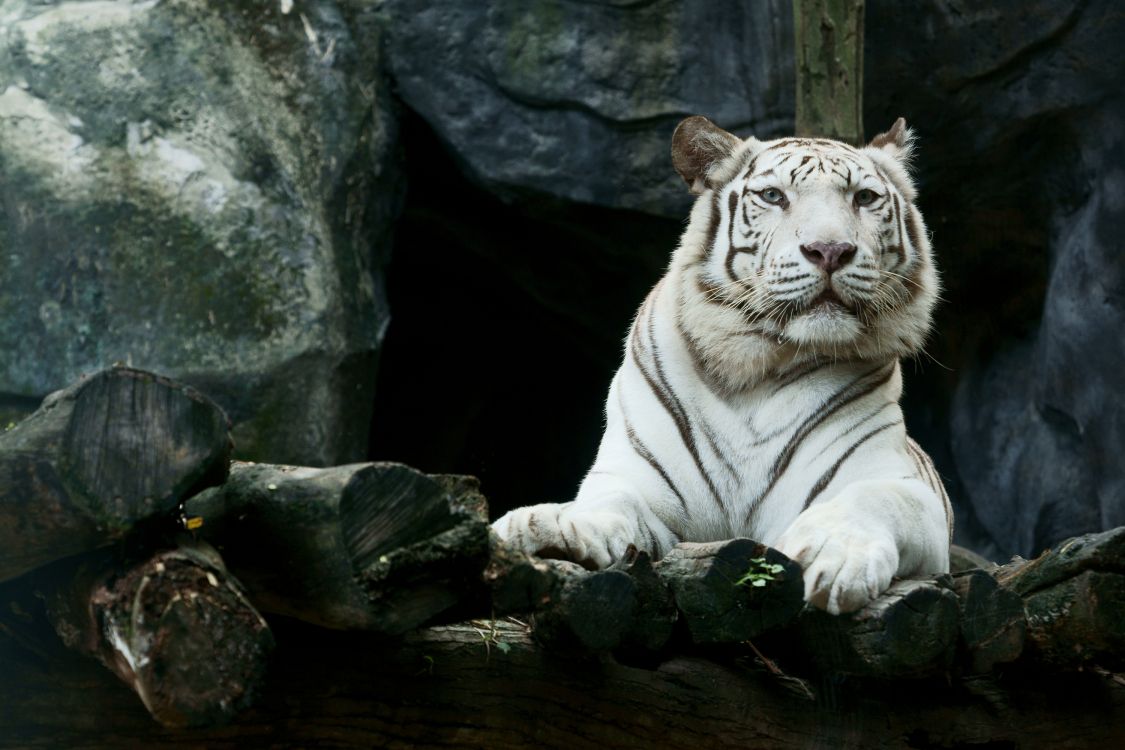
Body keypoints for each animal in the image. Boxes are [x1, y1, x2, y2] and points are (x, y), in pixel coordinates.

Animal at [492, 116, 952, 615]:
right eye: (773, 196)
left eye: (864, 198)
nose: (830, 250)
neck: (757, 370)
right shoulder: (638, 480)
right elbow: (609, 502)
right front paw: (555, 529)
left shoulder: (896, 482)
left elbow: (872, 499)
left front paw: (835, 555)